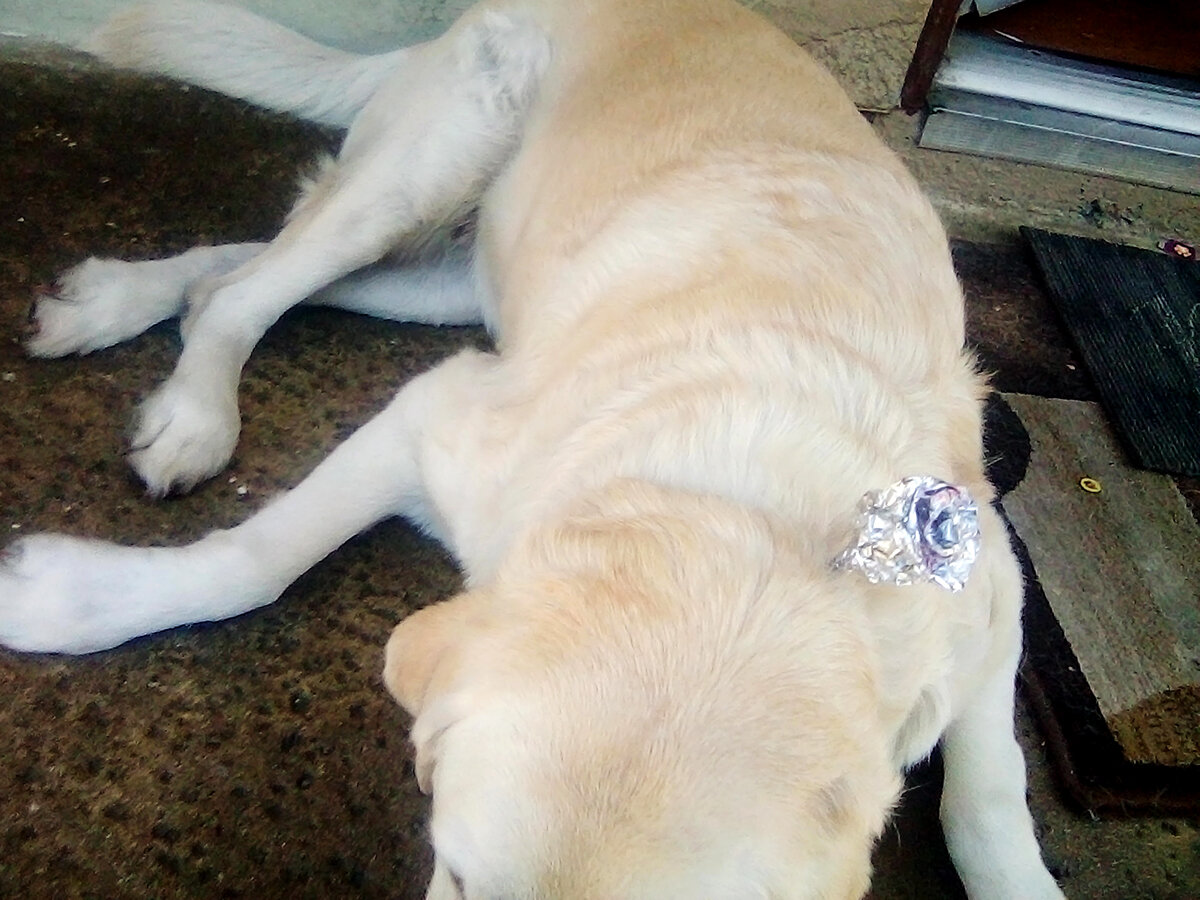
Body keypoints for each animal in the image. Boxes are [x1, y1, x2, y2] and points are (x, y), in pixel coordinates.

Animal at [2, 0, 1070, 897]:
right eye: (457, 875)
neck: (760, 530)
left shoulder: (991, 586)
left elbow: (988, 792)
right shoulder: (433, 417)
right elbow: (249, 563)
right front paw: (62, 599)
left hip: (451, 281)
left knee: (235, 273)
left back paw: (113, 300)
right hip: (427, 175)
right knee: (248, 291)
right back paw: (187, 404)